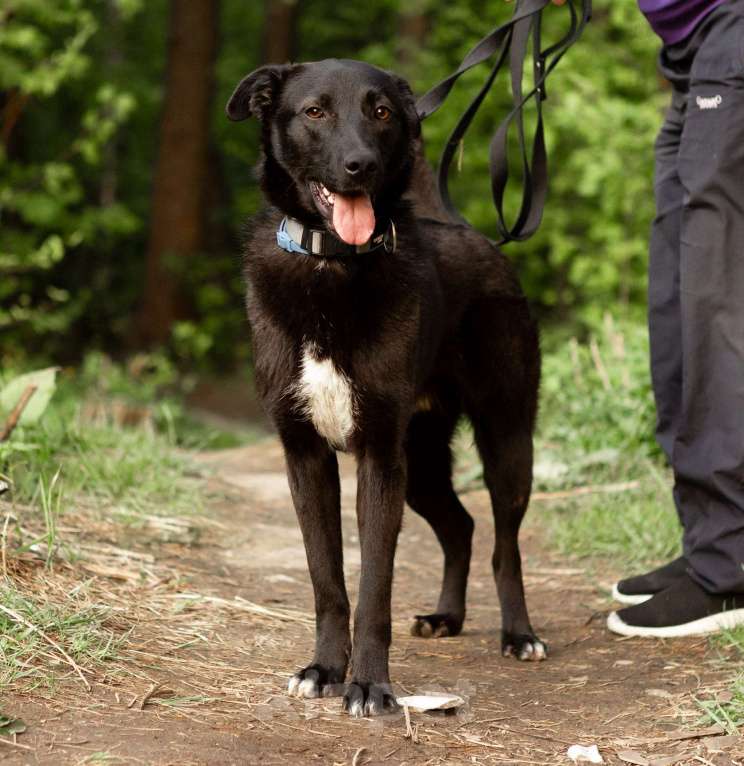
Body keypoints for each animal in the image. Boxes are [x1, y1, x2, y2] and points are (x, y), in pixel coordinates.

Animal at [230, 58, 544, 720]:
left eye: (381, 112)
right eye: (315, 111)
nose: (360, 166)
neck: (333, 265)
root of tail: (469, 231)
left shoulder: (379, 459)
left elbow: (374, 586)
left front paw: (371, 685)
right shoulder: (306, 456)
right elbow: (328, 580)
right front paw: (325, 670)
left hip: (505, 439)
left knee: (504, 544)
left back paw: (519, 633)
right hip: (420, 462)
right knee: (460, 526)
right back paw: (447, 616)